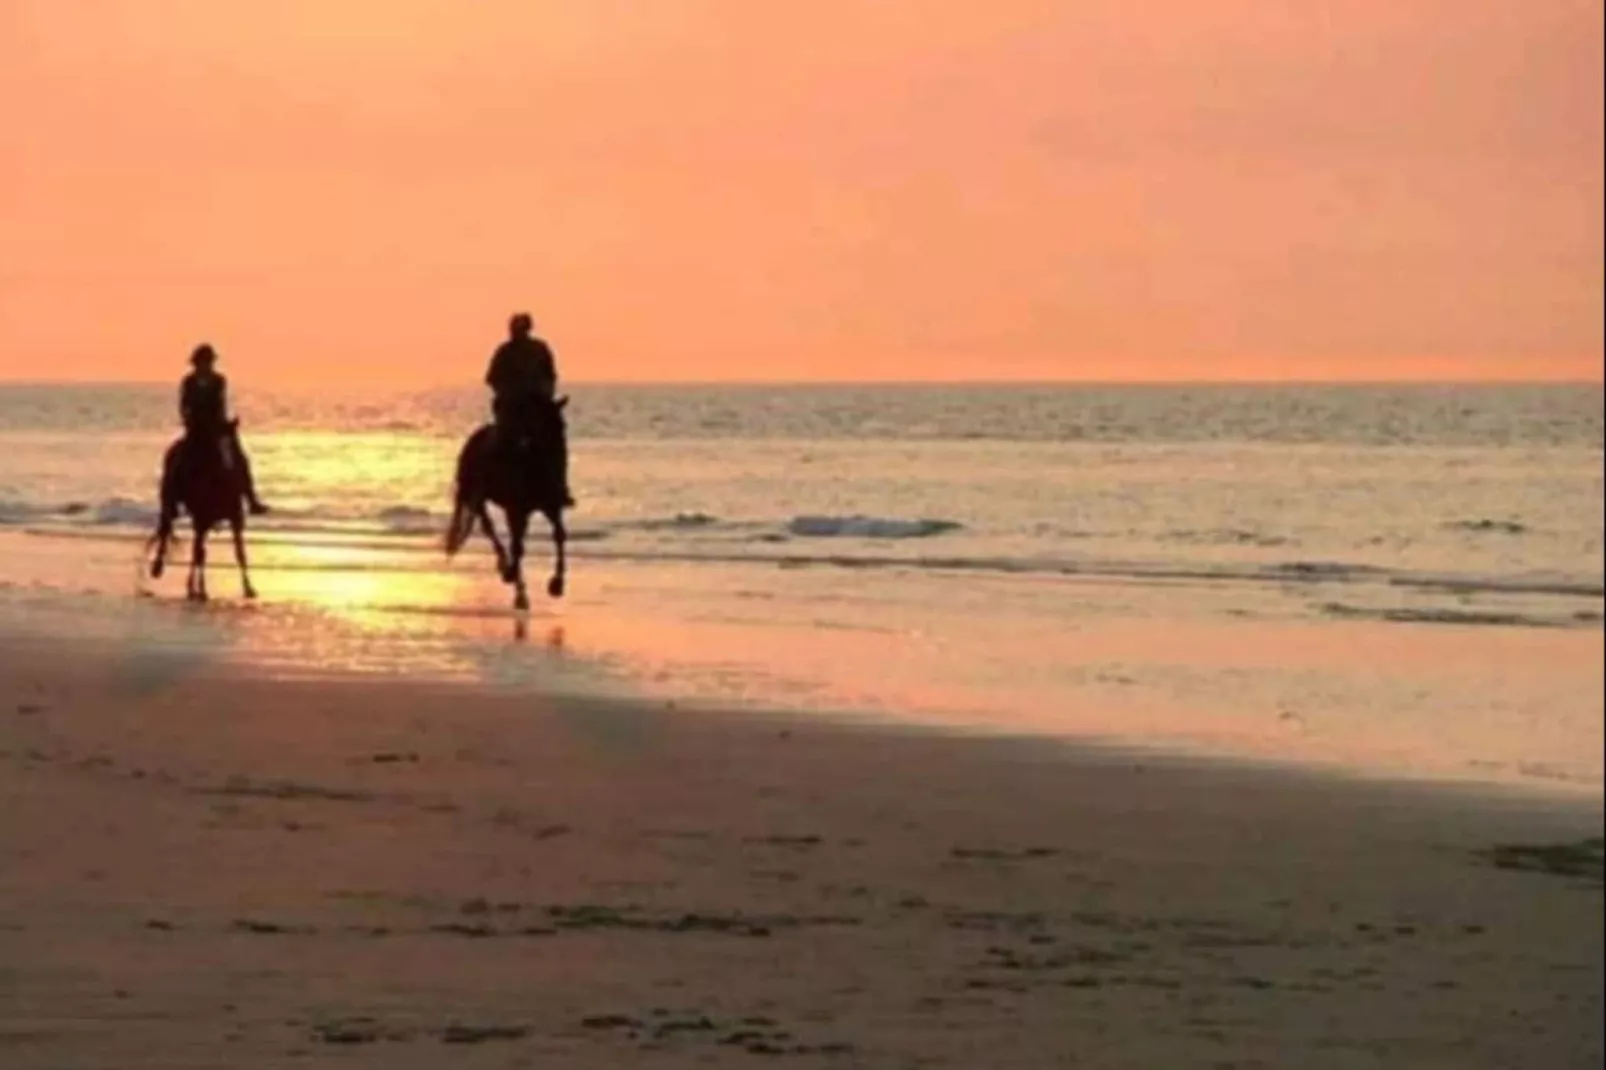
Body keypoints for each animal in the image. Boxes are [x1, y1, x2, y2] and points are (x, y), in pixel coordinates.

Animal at [146, 417, 255, 600]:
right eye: (216, 445)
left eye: (234, 443)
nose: (229, 467)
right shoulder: (201, 520)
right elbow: (199, 553)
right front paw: (195, 589)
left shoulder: (235, 519)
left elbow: (239, 552)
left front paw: (249, 589)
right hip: (170, 502)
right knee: (167, 531)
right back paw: (158, 568)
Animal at [443, 395, 568, 607]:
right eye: (543, 425)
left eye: (562, 425)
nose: (558, 453)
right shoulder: (515, 509)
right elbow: (517, 546)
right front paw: (516, 586)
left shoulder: (551, 506)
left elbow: (559, 535)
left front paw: (557, 584)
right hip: (478, 497)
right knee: (489, 528)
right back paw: (506, 569)